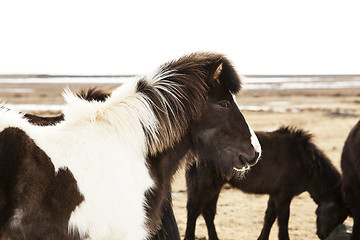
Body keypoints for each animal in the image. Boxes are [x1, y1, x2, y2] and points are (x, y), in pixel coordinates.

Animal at [184, 126, 348, 239]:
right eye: (336, 213)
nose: (322, 235)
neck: (304, 161)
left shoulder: (275, 194)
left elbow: (269, 218)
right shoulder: (284, 196)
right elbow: (282, 222)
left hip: (214, 187)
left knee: (208, 212)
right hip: (205, 186)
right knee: (194, 211)